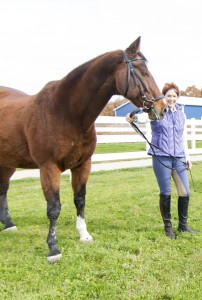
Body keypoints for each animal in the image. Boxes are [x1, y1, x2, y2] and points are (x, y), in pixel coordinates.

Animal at [0, 35, 166, 262]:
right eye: (142, 72)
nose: (162, 108)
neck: (65, 112)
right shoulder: (48, 168)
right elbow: (54, 208)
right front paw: (53, 248)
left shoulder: (82, 165)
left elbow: (80, 200)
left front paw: (84, 235)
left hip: (8, 163)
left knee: (3, 188)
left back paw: (8, 224)